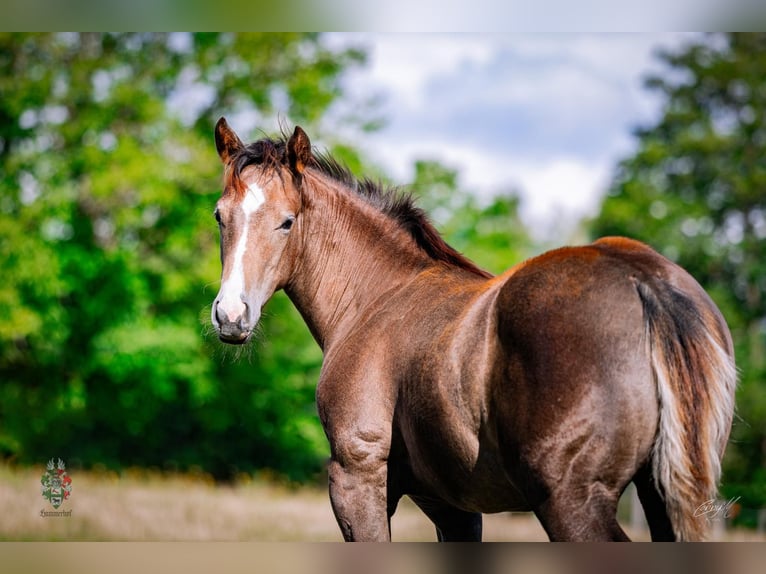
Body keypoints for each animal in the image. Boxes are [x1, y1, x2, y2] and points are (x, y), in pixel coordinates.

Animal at [209, 117, 737, 541]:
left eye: (287, 221)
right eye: (220, 216)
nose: (231, 315)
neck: (376, 297)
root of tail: (640, 276)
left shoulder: (357, 478)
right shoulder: (452, 506)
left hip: (571, 501)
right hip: (660, 495)